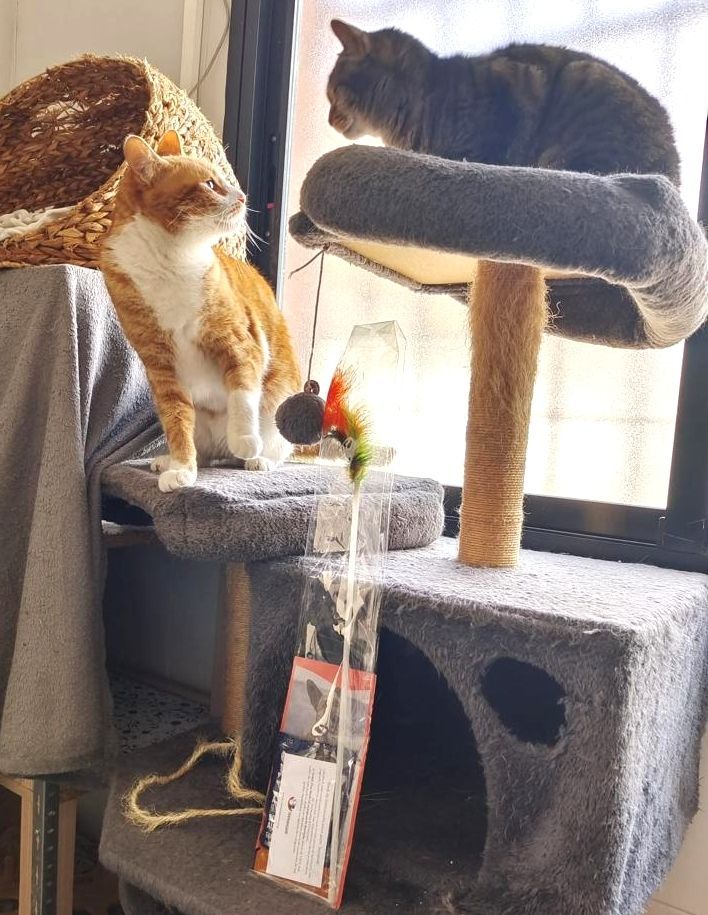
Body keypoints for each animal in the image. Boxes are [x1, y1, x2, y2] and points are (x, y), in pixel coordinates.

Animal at [100, 131, 301, 492]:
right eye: (210, 184)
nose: (242, 196)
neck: (171, 260)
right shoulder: (162, 369)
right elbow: (178, 422)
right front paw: (182, 469)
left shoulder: (239, 343)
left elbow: (242, 394)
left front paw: (245, 440)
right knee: (200, 447)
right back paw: (173, 461)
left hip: (280, 404)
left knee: (272, 445)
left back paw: (256, 458)